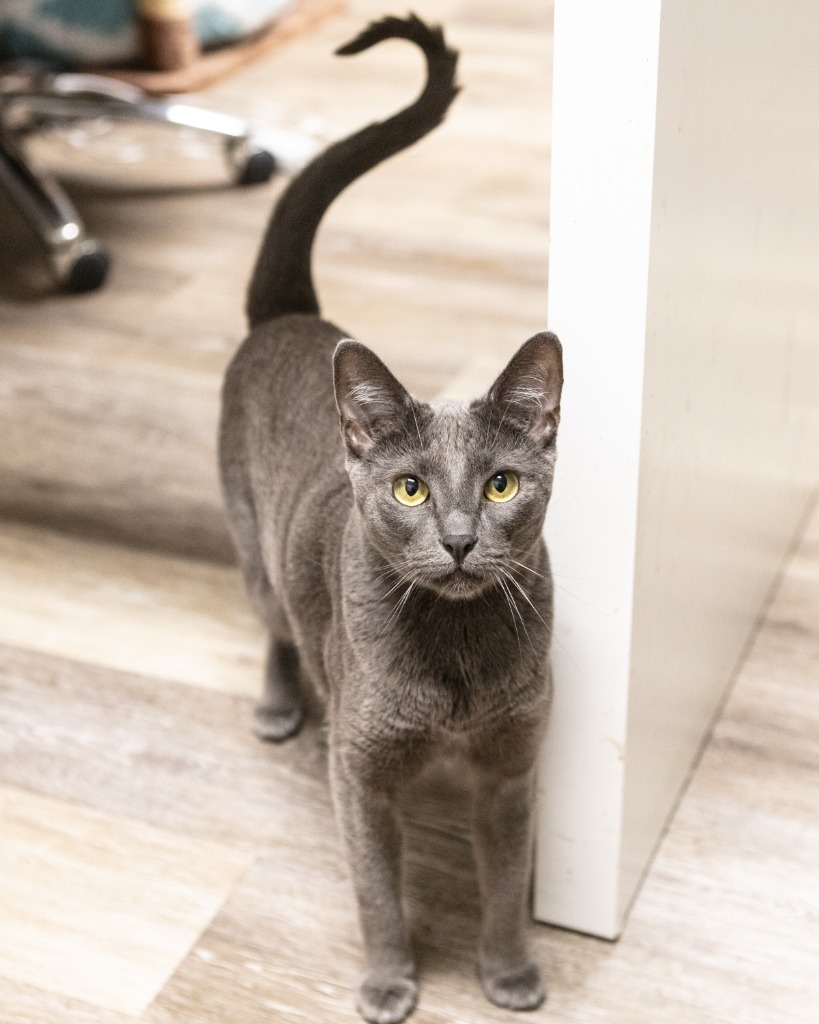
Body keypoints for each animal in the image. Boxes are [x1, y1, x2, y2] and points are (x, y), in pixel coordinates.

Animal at [217, 14, 565, 1024]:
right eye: (411, 489)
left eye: (499, 484)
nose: (456, 539)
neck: (452, 657)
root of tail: (291, 316)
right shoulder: (361, 773)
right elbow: (376, 890)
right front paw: (387, 983)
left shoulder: (510, 767)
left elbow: (504, 882)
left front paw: (509, 975)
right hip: (254, 547)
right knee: (277, 626)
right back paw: (278, 707)